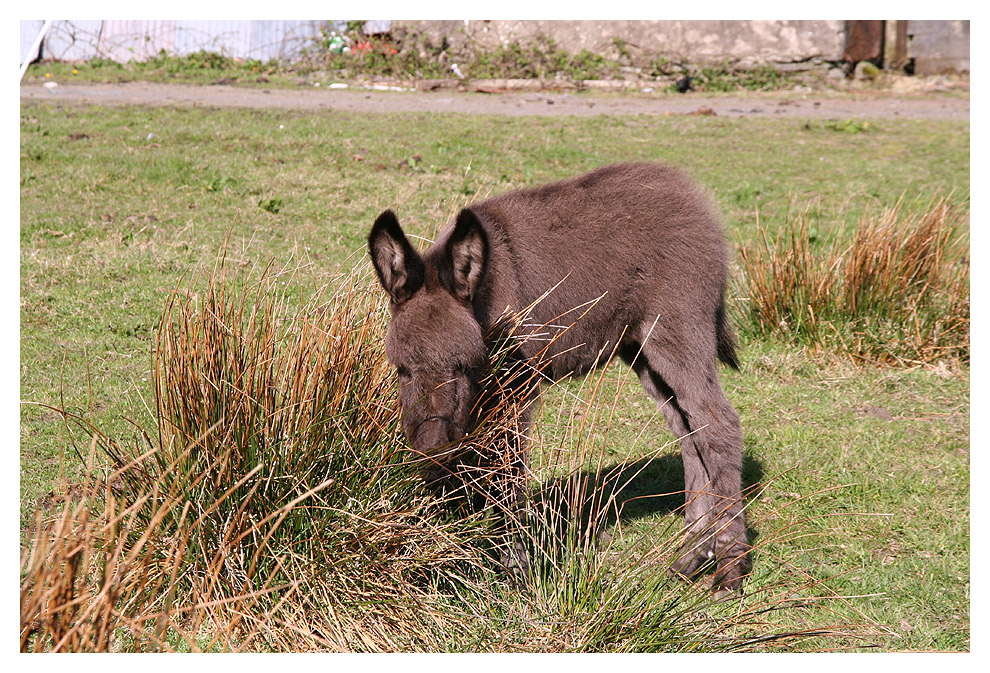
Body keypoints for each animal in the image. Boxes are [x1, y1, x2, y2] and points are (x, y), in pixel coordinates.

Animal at [370, 161, 752, 588]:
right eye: (401, 369)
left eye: (464, 366)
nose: (433, 448)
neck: (487, 295)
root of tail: (693, 196)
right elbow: (478, 466)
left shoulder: (516, 387)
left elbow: (508, 472)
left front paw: (516, 573)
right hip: (642, 350)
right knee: (690, 433)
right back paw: (692, 557)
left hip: (679, 331)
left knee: (718, 424)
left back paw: (730, 568)